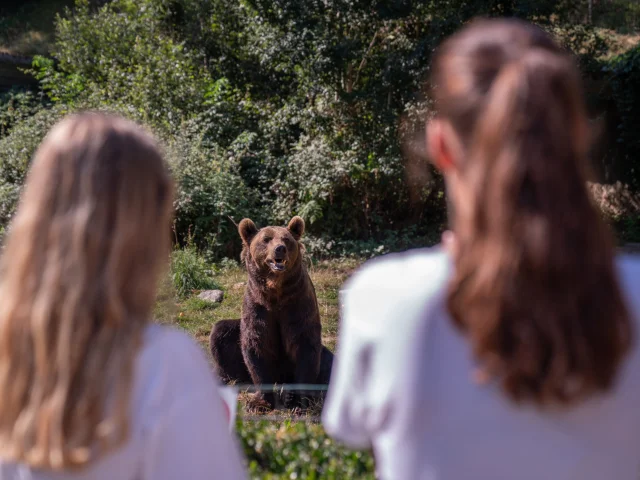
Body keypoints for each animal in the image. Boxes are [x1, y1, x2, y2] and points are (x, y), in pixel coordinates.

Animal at [210, 218, 336, 408]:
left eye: (286, 239)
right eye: (266, 239)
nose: (280, 248)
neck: (275, 291)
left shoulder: (297, 304)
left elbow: (305, 344)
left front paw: (300, 402)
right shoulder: (257, 306)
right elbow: (256, 343)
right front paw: (260, 401)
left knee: (330, 363)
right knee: (220, 333)